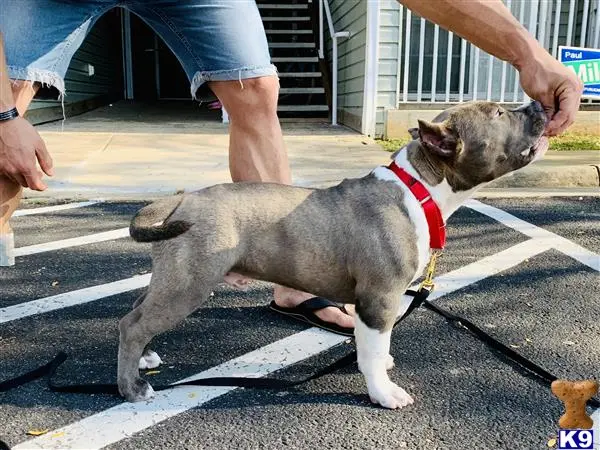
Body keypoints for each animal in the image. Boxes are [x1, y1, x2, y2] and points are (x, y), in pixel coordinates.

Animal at [117, 101, 548, 408]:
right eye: (498, 113)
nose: (539, 105)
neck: (419, 187)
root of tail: (183, 200)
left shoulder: (370, 304)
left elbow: (375, 346)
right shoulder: (380, 298)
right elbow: (373, 351)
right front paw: (383, 392)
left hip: (172, 277)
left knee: (136, 311)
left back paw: (145, 359)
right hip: (188, 284)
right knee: (133, 325)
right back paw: (132, 388)